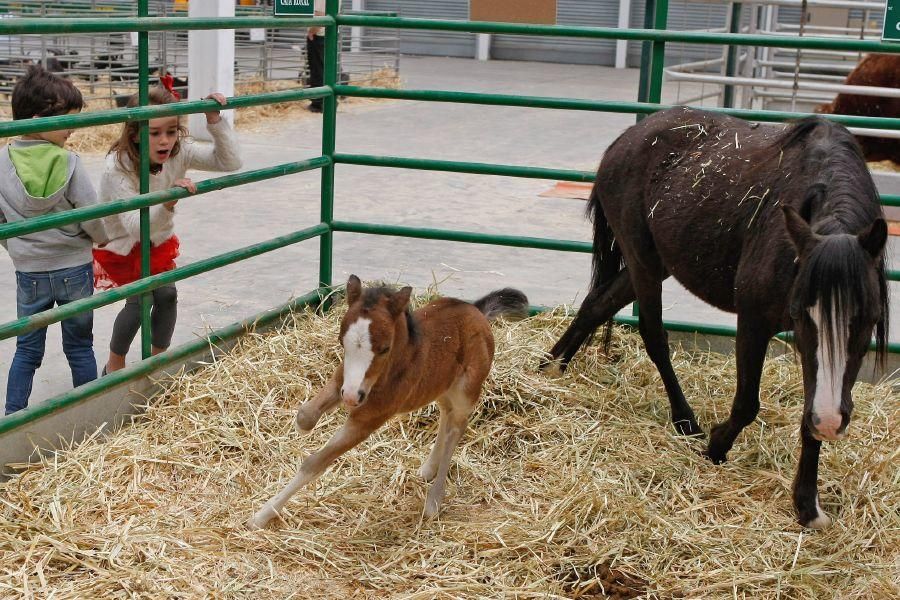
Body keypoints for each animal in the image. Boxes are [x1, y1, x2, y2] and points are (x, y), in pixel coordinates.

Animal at [246, 276, 528, 528]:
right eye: (341, 342)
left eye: (384, 348)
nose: (351, 397)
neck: (395, 365)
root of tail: (477, 310)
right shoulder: (341, 379)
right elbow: (305, 415)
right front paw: (301, 426)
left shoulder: (369, 417)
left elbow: (313, 463)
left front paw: (261, 517)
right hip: (440, 385)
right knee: (445, 416)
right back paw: (428, 469)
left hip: (465, 390)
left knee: (457, 426)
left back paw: (434, 501)